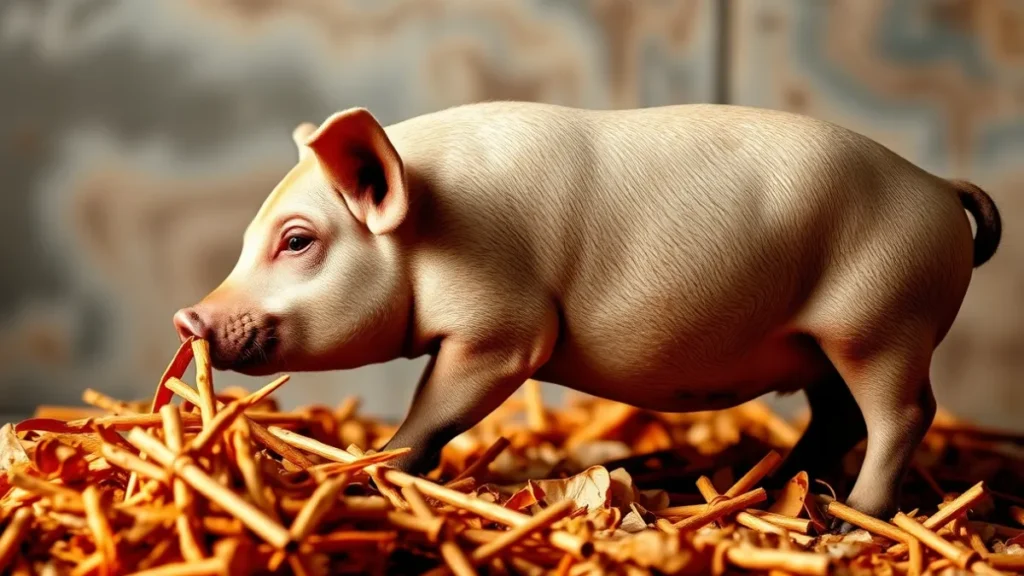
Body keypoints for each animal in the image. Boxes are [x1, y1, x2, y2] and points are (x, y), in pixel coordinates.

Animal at [173, 101, 1001, 527]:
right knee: (837, 417)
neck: (437, 226)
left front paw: (382, 465)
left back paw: (861, 512)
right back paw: (773, 491)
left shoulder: (502, 327)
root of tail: (939, 187)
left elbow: (436, 409)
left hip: (883, 323)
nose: (189, 318)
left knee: (903, 412)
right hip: (825, 345)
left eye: (297, 240)